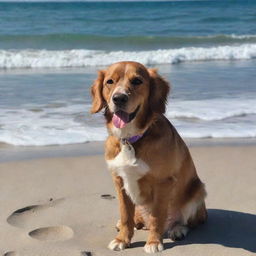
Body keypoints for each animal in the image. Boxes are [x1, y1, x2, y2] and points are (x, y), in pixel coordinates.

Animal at [90, 61, 206, 253]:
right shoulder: (119, 181)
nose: (118, 98)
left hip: (198, 190)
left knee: (185, 221)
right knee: (136, 219)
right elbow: (125, 214)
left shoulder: (163, 182)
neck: (130, 139)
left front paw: (153, 242)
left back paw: (177, 229)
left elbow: (157, 216)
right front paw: (122, 239)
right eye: (109, 82)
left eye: (137, 81)